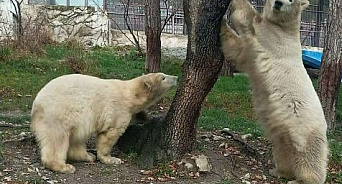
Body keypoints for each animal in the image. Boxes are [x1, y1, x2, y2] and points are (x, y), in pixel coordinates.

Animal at [30, 72, 178, 173]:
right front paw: (112, 159)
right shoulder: (118, 110)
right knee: (58, 138)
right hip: (58, 114)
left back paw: (88, 156)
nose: (176, 77)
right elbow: (110, 134)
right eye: (163, 77)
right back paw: (64, 166)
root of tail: (36, 103)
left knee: (77, 137)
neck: (130, 95)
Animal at [220, 0, 330, 184]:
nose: (278, 2)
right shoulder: (249, 54)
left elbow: (249, 18)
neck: (286, 28)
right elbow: (236, 48)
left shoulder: (273, 36)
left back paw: (302, 179)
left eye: (291, 0)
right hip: (284, 132)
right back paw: (279, 171)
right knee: (283, 150)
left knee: (308, 157)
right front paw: (222, 22)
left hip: (303, 129)